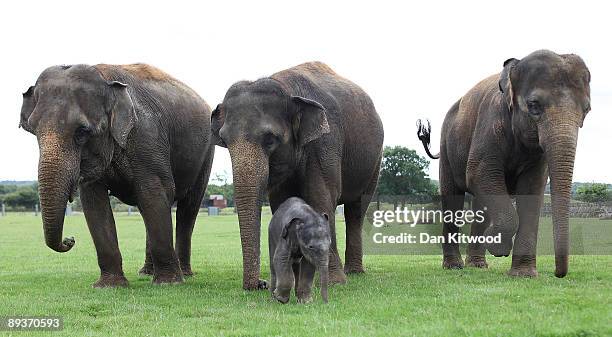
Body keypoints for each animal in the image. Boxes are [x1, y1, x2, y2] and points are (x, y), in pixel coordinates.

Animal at [20, 63, 215, 286]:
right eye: (34, 130)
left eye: (82, 131)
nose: (70, 239)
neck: (105, 79)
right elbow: (94, 202)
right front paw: (109, 286)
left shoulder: (147, 136)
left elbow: (154, 191)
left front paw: (168, 283)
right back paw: (146, 273)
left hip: (205, 154)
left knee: (187, 207)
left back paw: (184, 274)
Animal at [212, 61, 382, 288]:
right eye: (224, 141)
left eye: (270, 139)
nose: (261, 284)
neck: (287, 89)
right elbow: (283, 203)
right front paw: (292, 278)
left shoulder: (325, 141)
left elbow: (321, 198)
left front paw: (334, 282)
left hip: (374, 162)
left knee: (356, 209)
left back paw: (353, 272)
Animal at [418, 49, 592, 276]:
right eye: (534, 105)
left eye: (587, 110)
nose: (558, 274)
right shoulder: (490, 120)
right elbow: (478, 173)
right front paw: (499, 246)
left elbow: (532, 188)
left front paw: (524, 274)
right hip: (447, 144)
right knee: (453, 196)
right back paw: (454, 266)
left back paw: (477, 265)